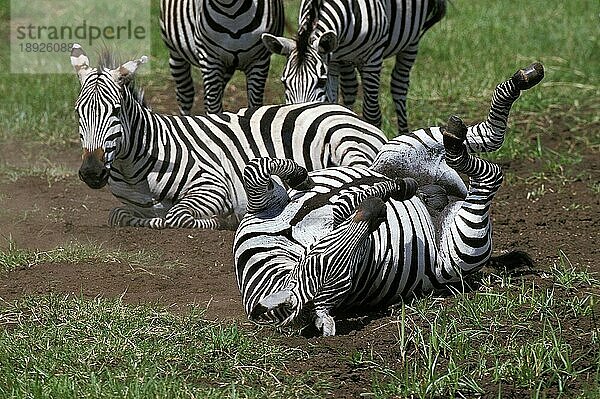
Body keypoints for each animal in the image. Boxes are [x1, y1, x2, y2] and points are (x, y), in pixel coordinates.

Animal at [71, 43, 390, 231]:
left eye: (115, 110)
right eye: (78, 113)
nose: (91, 172)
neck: (134, 168)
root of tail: (340, 109)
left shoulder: (213, 184)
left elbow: (177, 216)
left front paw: (215, 220)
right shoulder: (128, 205)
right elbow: (121, 215)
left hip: (346, 141)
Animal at [234, 63, 544, 338]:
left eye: (317, 255)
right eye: (347, 273)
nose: (377, 212)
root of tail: (448, 194)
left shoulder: (262, 205)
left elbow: (256, 168)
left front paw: (300, 176)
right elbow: (350, 199)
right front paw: (393, 190)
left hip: (395, 151)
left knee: (484, 137)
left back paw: (516, 84)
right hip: (465, 244)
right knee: (489, 175)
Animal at [262, 0, 446, 134]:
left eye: (321, 82)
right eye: (284, 83)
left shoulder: (372, 58)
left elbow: (372, 115)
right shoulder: (333, 61)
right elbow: (332, 105)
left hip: (411, 41)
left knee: (399, 85)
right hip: (345, 60)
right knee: (350, 88)